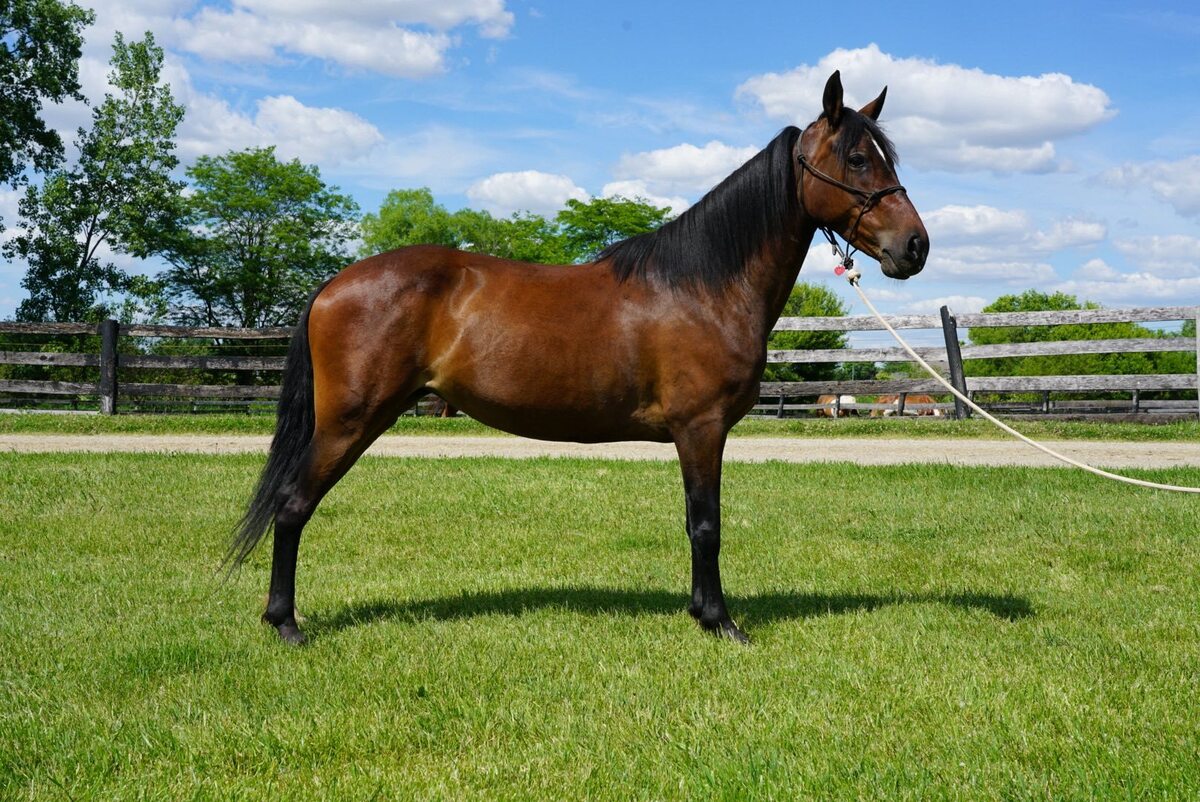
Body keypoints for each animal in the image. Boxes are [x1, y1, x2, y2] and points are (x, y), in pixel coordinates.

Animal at [229, 71, 929, 645]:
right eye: (857, 158)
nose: (915, 246)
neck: (704, 286)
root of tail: (334, 284)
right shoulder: (700, 429)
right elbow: (706, 524)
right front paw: (720, 622)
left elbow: (696, 522)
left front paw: (702, 613)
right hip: (349, 421)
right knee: (292, 505)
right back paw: (286, 623)